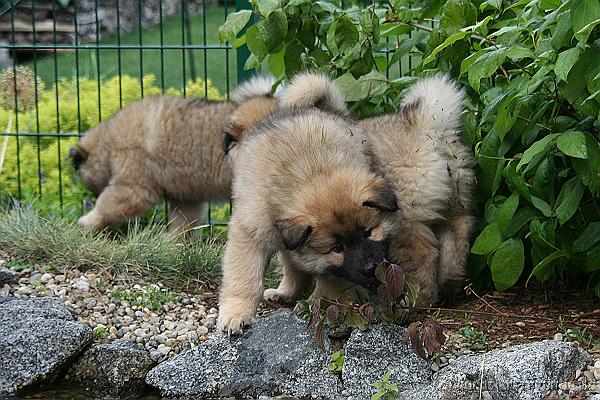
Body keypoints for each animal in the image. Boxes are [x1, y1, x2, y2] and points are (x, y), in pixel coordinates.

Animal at [69, 76, 278, 233]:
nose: (89, 196)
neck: (107, 143)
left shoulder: (133, 188)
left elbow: (106, 205)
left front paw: (87, 221)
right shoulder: (187, 199)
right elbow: (182, 226)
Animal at [218, 74, 400, 332]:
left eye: (369, 233)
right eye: (337, 247)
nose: (371, 269)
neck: (312, 172)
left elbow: (329, 275)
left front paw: (317, 303)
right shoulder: (252, 231)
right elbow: (244, 275)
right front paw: (236, 313)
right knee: (292, 264)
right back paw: (286, 292)